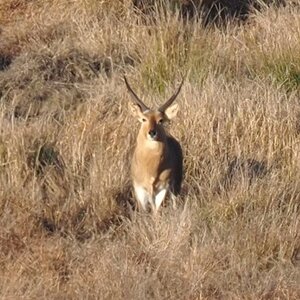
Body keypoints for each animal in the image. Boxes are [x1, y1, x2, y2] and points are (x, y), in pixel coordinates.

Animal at [123, 76, 184, 212]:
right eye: (143, 119)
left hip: (175, 185)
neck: (150, 167)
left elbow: (156, 211)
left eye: (160, 120)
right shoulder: (140, 189)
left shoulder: (162, 188)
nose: (152, 132)